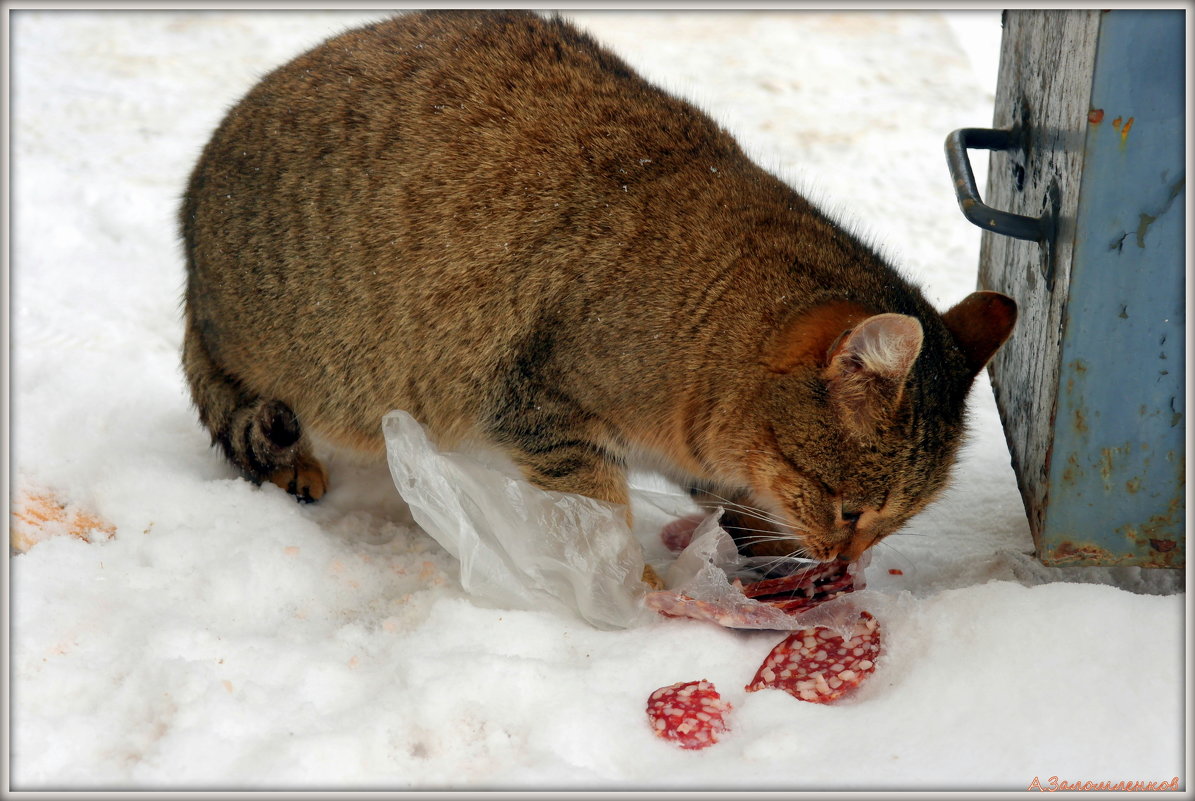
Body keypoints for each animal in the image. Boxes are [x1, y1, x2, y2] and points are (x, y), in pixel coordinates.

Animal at [181, 10, 1013, 564]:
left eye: (894, 523)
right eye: (849, 511)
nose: (846, 566)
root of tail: (188, 226)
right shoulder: (540, 409)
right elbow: (600, 514)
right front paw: (631, 590)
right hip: (313, 361)